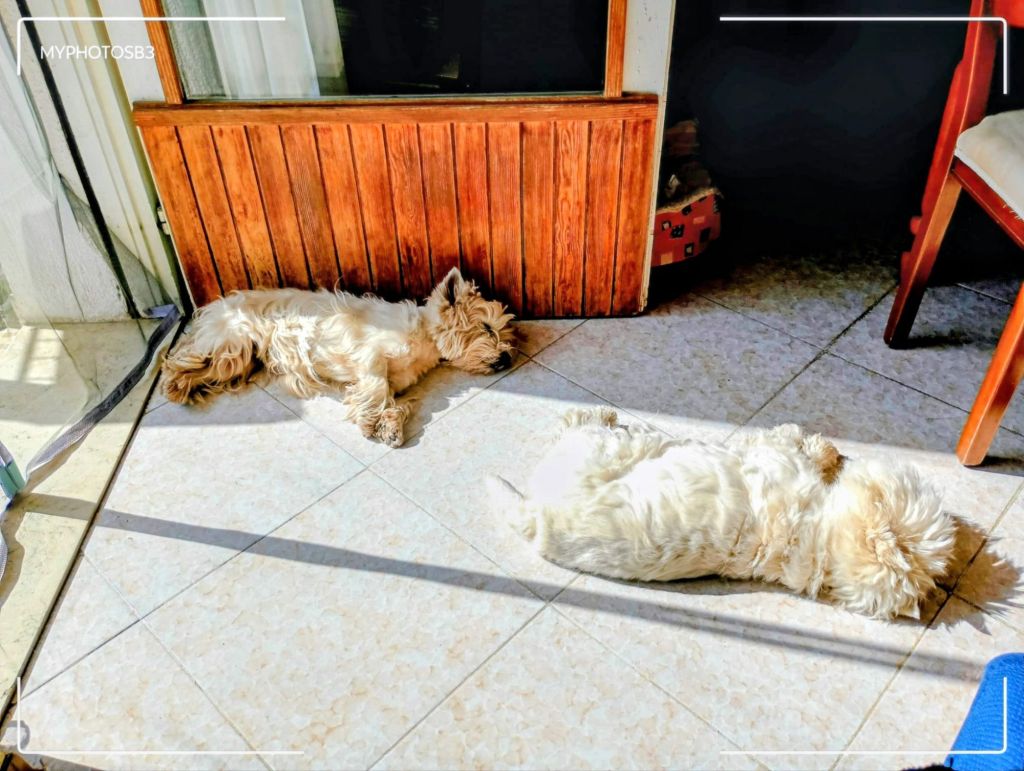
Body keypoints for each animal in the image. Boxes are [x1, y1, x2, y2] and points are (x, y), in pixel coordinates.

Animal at [161, 268, 516, 447]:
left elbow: (396, 400)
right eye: (487, 327)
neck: (424, 339)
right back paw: (174, 385)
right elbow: (376, 387)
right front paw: (374, 421)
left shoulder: (400, 381)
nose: (506, 359)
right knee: (182, 358)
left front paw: (390, 425)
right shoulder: (370, 354)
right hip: (233, 343)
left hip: (244, 357)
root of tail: (216, 306)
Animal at [488, 408, 955, 619]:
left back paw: (595, 412)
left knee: (581, 427)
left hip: (604, 450)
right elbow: (797, 445)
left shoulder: (773, 457)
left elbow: (785, 441)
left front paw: (821, 450)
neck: (816, 542)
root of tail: (535, 514)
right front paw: (827, 452)